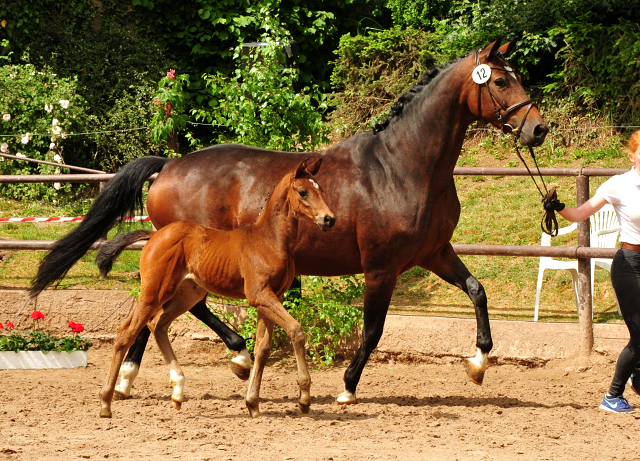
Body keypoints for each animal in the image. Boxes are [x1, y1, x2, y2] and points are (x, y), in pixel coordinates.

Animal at [99, 158, 336, 416]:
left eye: (321, 190)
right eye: (303, 192)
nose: (329, 219)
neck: (269, 239)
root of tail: (154, 235)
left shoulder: (272, 297)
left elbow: (263, 347)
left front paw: (252, 403)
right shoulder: (260, 295)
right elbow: (296, 330)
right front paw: (304, 398)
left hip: (187, 294)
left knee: (157, 324)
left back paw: (178, 390)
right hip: (155, 291)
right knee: (126, 332)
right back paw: (106, 402)